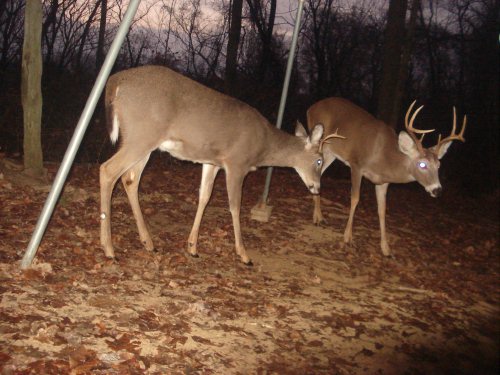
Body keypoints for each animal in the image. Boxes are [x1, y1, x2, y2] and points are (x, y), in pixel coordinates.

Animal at [98, 67, 344, 268]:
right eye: (320, 160)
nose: (317, 187)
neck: (263, 145)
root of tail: (115, 81)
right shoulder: (236, 163)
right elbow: (235, 205)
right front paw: (244, 255)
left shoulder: (212, 162)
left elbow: (204, 196)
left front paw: (192, 247)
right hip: (142, 134)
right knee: (108, 170)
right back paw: (109, 249)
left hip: (144, 141)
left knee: (129, 179)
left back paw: (148, 242)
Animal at [306, 97, 466, 258]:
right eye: (422, 164)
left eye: (439, 165)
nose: (437, 190)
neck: (384, 158)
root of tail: (311, 107)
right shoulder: (356, 165)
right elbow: (355, 199)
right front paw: (348, 238)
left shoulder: (383, 182)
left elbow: (382, 210)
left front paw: (386, 249)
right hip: (321, 143)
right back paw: (318, 217)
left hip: (331, 152)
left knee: (319, 173)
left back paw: (318, 217)